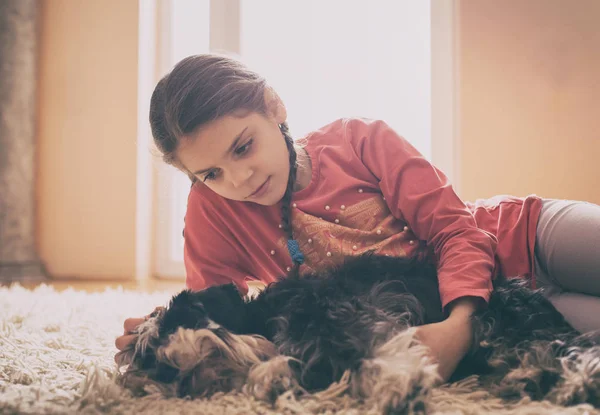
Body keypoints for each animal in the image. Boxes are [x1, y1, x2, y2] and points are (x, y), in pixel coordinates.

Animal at [116, 255, 600, 414]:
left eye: (180, 319)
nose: (160, 369)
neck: (264, 319)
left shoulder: (341, 318)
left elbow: (360, 356)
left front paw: (399, 388)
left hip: (506, 328)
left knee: (570, 351)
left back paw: (567, 383)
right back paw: (527, 381)